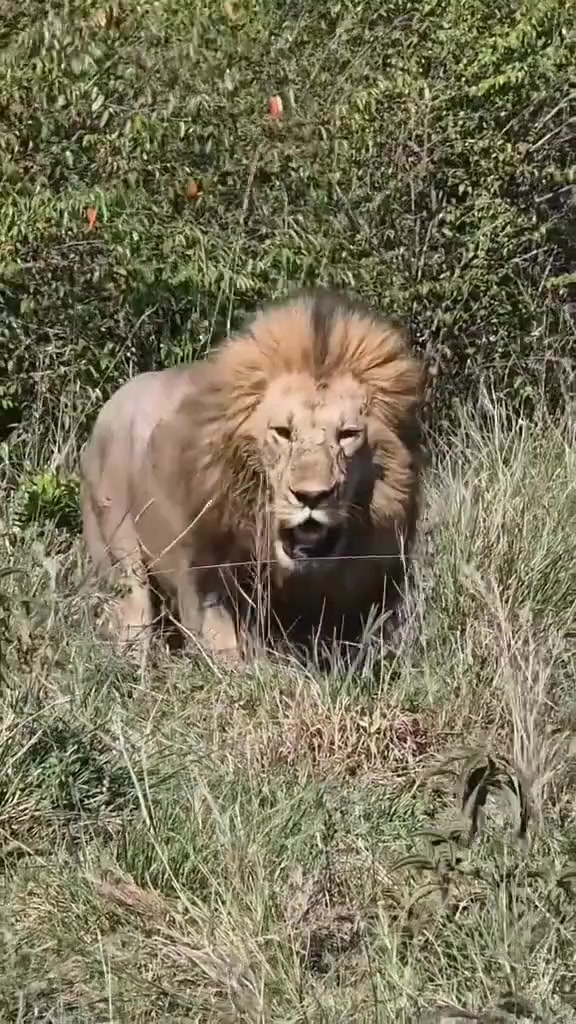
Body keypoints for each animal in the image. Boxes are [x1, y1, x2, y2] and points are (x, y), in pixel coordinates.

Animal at [79, 288, 424, 664]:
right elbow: (225, 648)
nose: (311, 496)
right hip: (120, 554)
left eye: (348, 434)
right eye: (283, 432)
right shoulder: (206, 582)